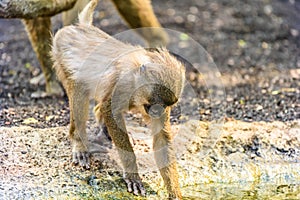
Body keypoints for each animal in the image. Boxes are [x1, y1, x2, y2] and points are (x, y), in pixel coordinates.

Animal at [51, 0, 185, 198]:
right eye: (155, 105)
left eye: (164, 106)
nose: (157, 112)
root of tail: (81, 27)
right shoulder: (124, 84)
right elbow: (110, 111)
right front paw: (133, 175)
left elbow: (161, 137)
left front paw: (175, 194)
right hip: (62, 54)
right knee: (80, 89)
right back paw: (79, 142)